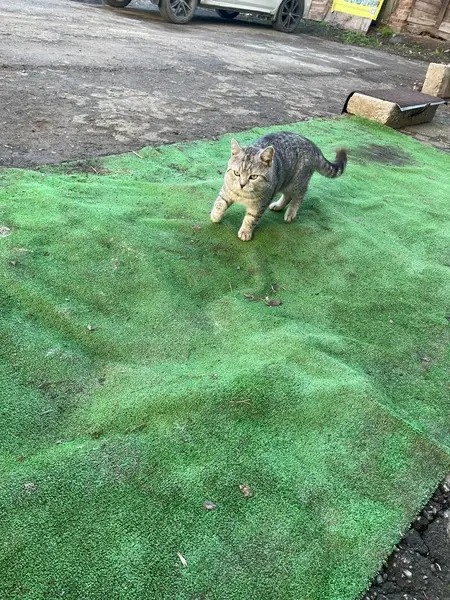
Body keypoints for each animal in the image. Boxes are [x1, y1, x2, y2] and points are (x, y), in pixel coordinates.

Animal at [210, 132, 347, 241]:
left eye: (253, 177)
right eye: (236, 173)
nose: (242, 184)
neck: (242, 194)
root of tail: (312, 144)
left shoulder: (260, 204)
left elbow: (251, 218)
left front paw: (245, 231)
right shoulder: (227, 190)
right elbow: (220, 202)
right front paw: (216, 215)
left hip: (297, 182)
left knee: (299, 196)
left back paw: (291, 213)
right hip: (284, 182)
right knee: (287, 196)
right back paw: (278, 206)